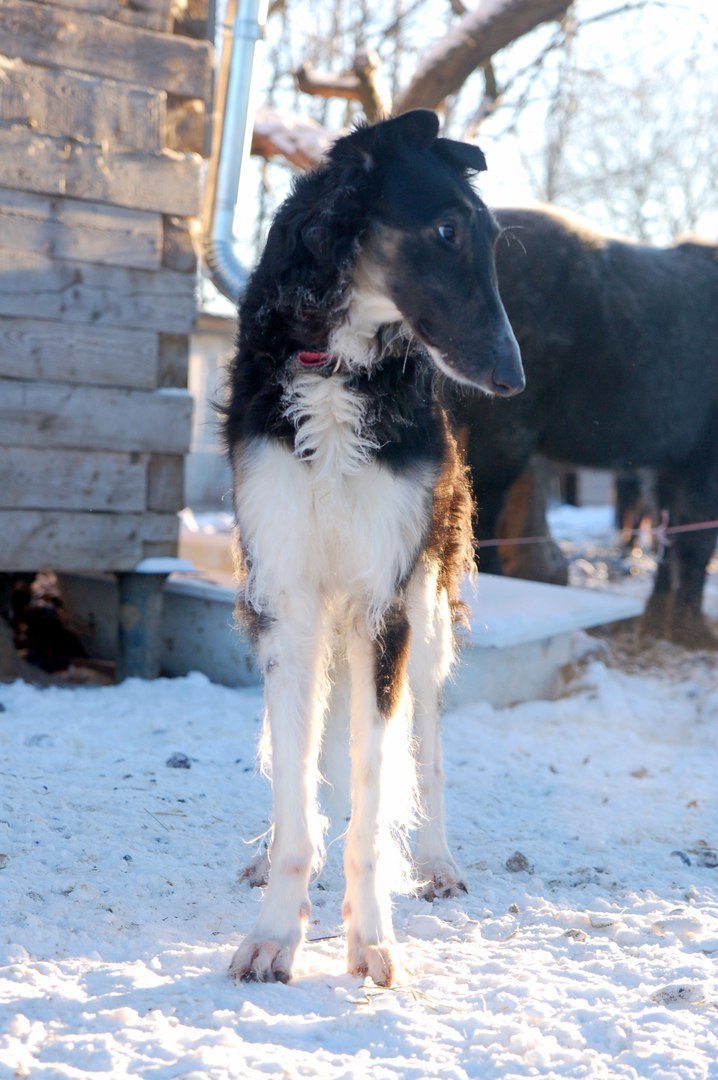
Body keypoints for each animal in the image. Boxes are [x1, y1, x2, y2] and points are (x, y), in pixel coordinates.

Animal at [224, 111, 520, 989]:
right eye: (447, 231)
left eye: (493, 238)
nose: (514, 377)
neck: (338, 369)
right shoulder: (285, 595)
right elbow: (298, 779)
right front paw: (275, 931)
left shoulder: (381, 604)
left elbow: (375, 782)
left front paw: (371, 940)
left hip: (427, 614)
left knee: (425, 751)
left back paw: (437, 862)